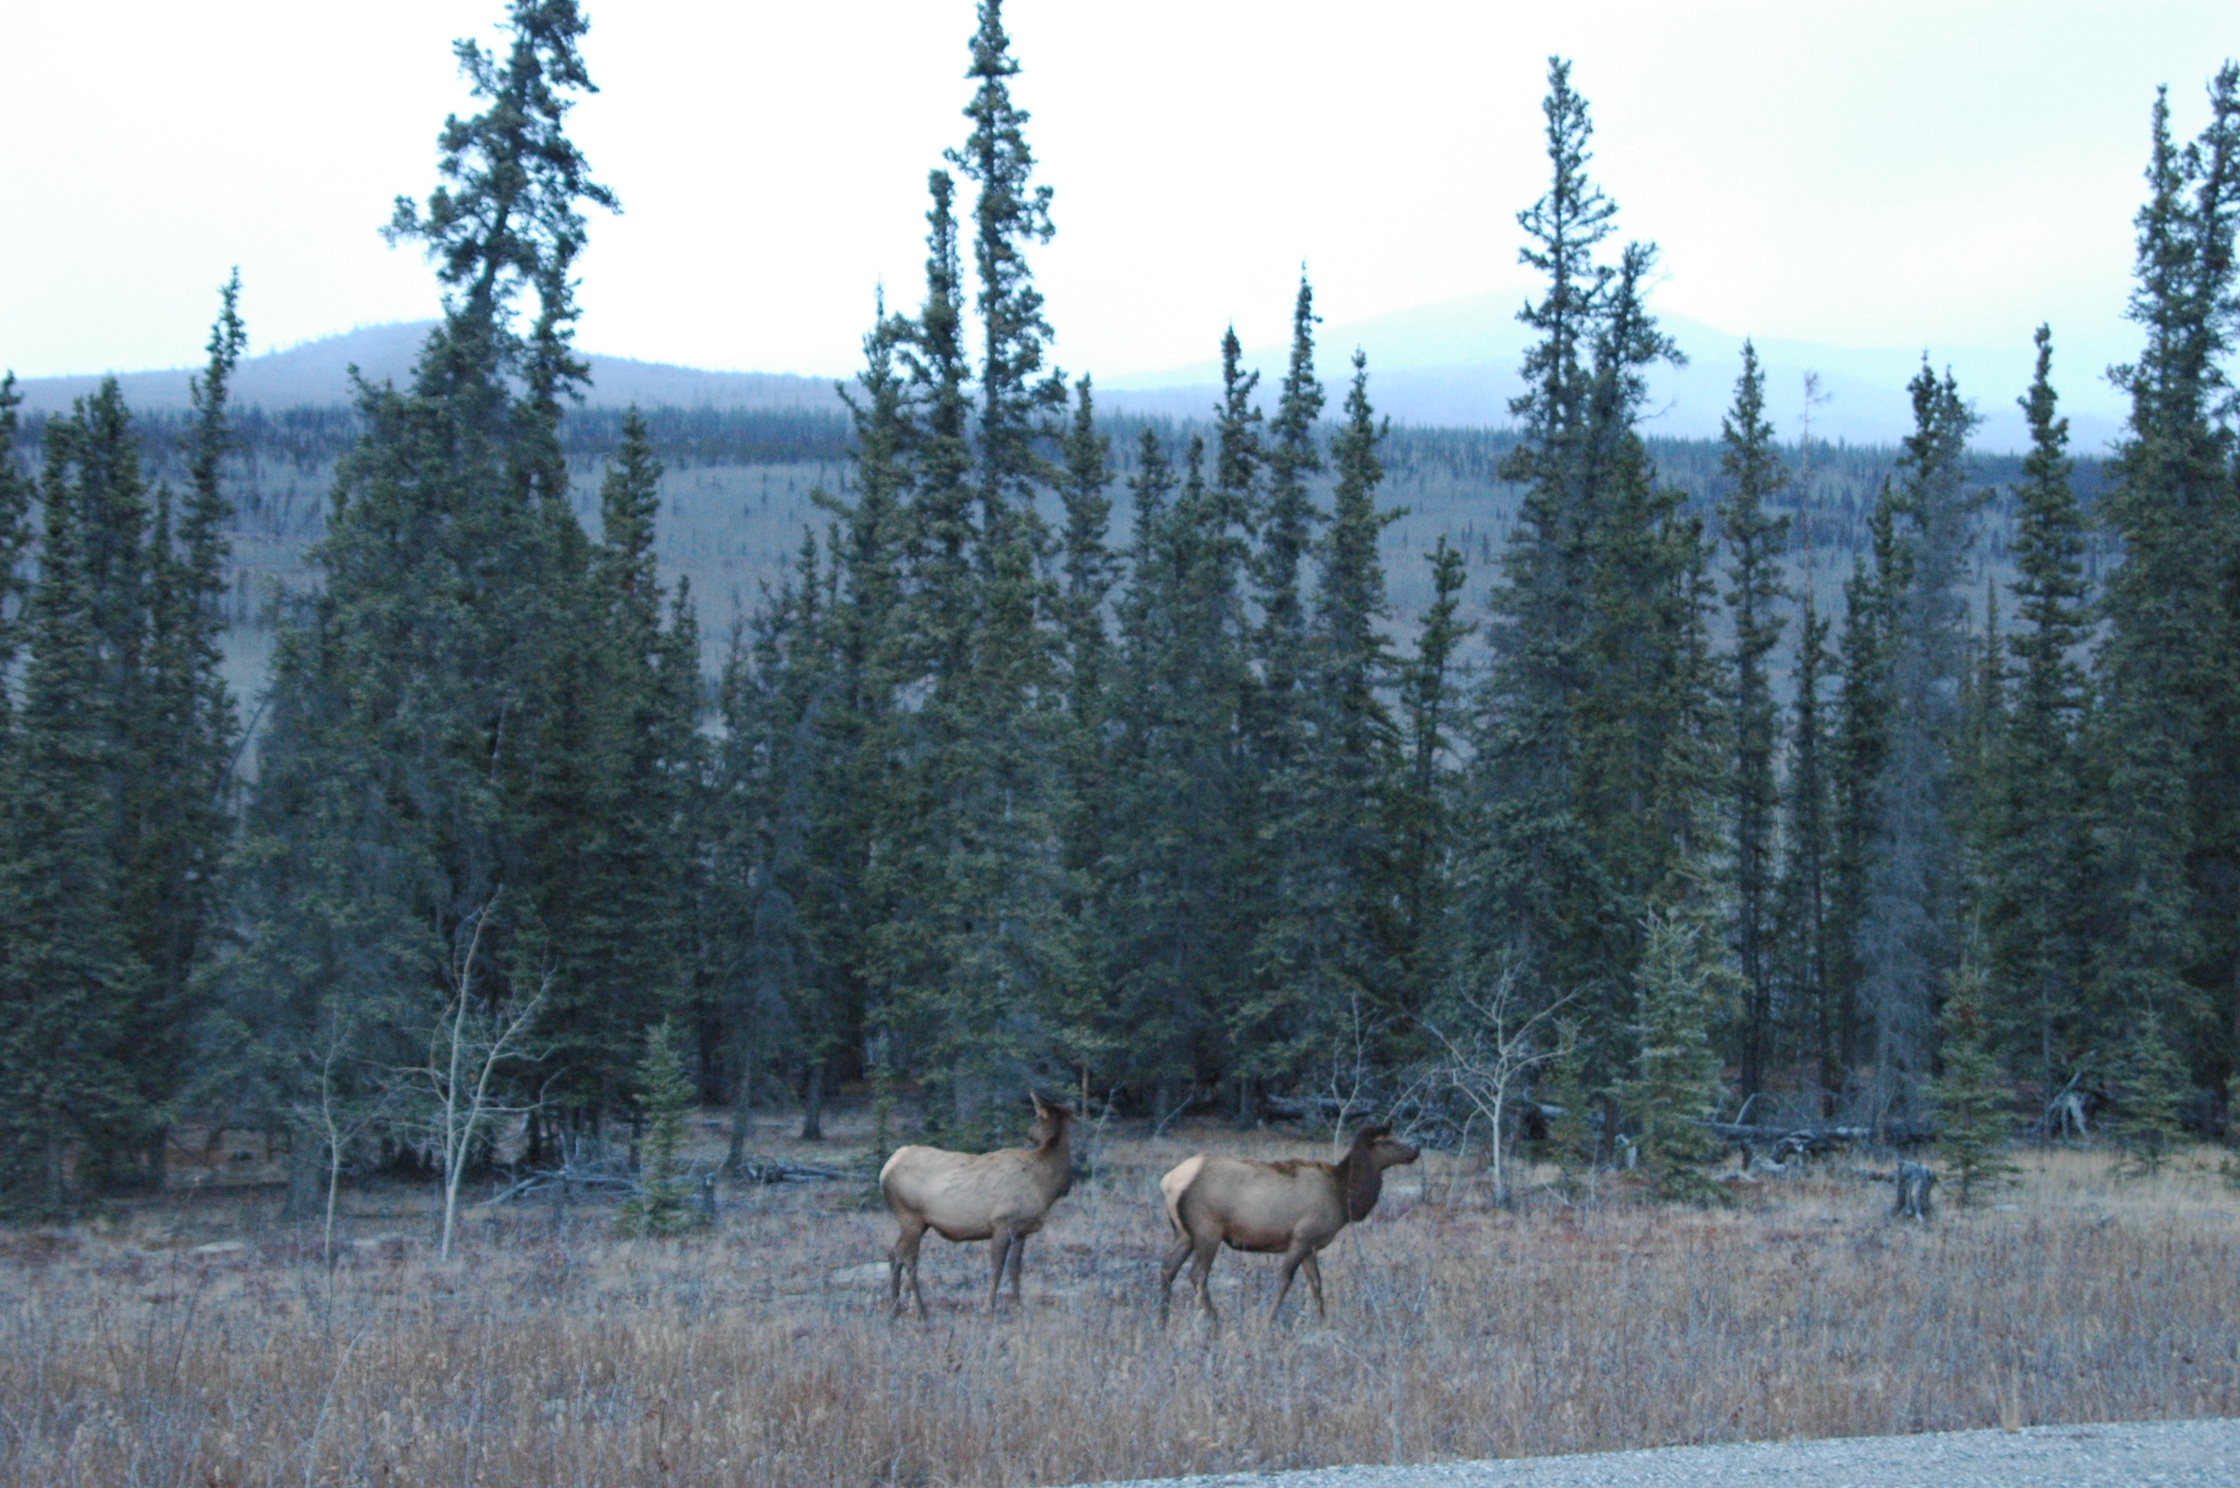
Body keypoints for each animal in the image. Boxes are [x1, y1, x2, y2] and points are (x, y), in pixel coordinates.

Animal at [879, 1093, 1075, 1318]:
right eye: (1036, 1117)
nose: (1030, 1134)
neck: (1044, 1185)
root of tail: (885, 1169)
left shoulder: (1021, 1231)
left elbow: (1016, 1269)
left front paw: (1018, 1306)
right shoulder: (1002, 1223)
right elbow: (997, 1268)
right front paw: (988, 1308)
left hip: (918, 1221)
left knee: (894, 1252)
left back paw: (894, 1306)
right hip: (909, 1215)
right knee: (908, 1258)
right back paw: (920, 1309)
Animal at [1157, 1123, 1419, 1328]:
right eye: (1387, 1142)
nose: (1416, 1149)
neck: (1344, 1198)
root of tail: (1168, 1181)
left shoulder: (1310, 1245)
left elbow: (1316, 1284)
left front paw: (1323, 1320)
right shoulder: (1301, 1237)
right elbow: (1285, 1281)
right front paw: (1269, 1320)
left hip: (1183, 1233)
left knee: (1167, 1269)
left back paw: (1162, 1321)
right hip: (1207, 1230)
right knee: (1196, 1275)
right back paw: (1215, 1319)